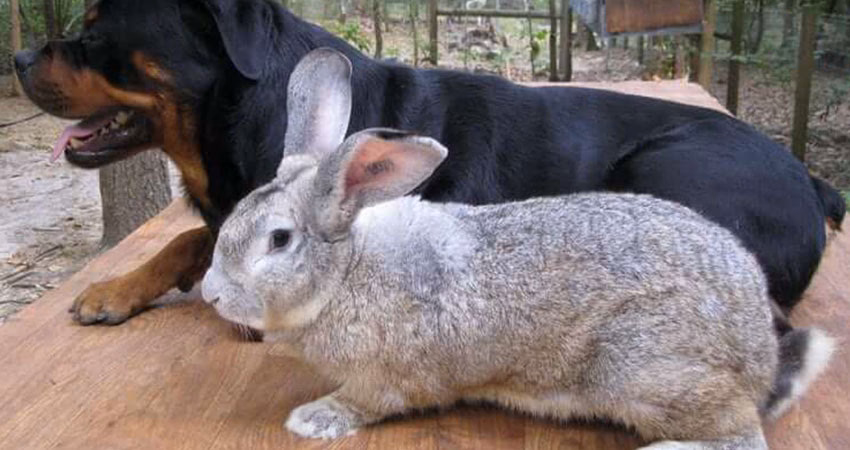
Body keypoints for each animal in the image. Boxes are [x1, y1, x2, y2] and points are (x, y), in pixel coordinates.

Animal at [201, 48, 835, 449]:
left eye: (278, 240)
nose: (210, 295)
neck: (347, 271)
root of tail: (759, 354)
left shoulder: (386, 379)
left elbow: (367, 401)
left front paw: (313, 419)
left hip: (642, 369)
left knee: (741, 437)